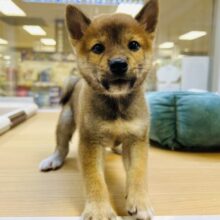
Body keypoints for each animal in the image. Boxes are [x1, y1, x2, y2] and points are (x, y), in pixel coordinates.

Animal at [39, 0, 158, 219]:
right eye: (98, 48)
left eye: (134, 45)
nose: (118, 64)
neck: (117, 103)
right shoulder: (90, 143)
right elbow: (94, 179)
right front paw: (100, 210)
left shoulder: (136, 140)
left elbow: (137, 173)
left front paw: (139, 201)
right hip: (65, 121)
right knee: (62, 146)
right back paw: (54, 159)